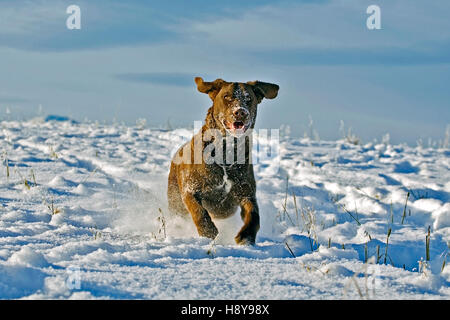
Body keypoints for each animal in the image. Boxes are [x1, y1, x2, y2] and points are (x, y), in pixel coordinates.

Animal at [168, 77, 278, 245]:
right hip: (175, 202)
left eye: (248, 98)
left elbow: (254, 215)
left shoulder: (246, 193)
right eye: (226, 97)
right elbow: (199, 211)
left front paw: (245, 236)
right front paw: (208, 232)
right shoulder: (190, 190)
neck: (226, 153)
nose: (240, 111)